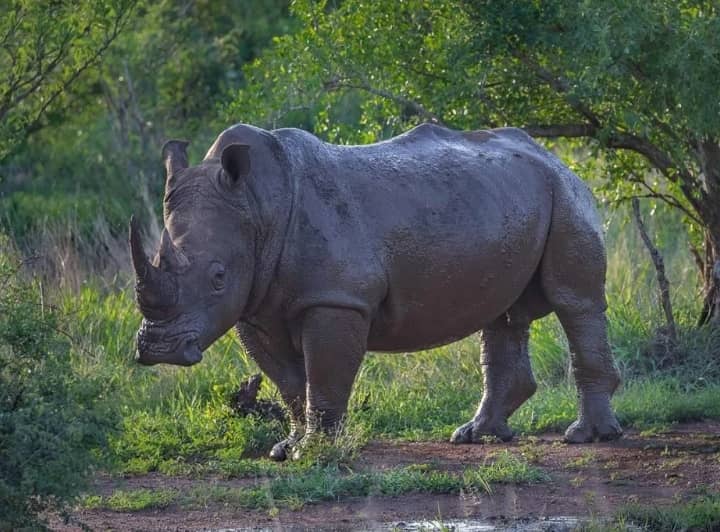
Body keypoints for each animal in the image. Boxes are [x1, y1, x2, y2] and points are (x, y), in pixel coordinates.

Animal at [131, 123, 622, 461]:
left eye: (217, 276)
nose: (158, 349)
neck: (255, 207)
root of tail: (552, 155)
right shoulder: (255, 306)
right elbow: (289, 381)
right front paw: (287, 449)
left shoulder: (336, 297)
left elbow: (324, 375)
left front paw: (317, 451)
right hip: (504, 200)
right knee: (502, 315)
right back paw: (475, 435)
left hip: (565, 193)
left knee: (574, 302)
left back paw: (586, 436)